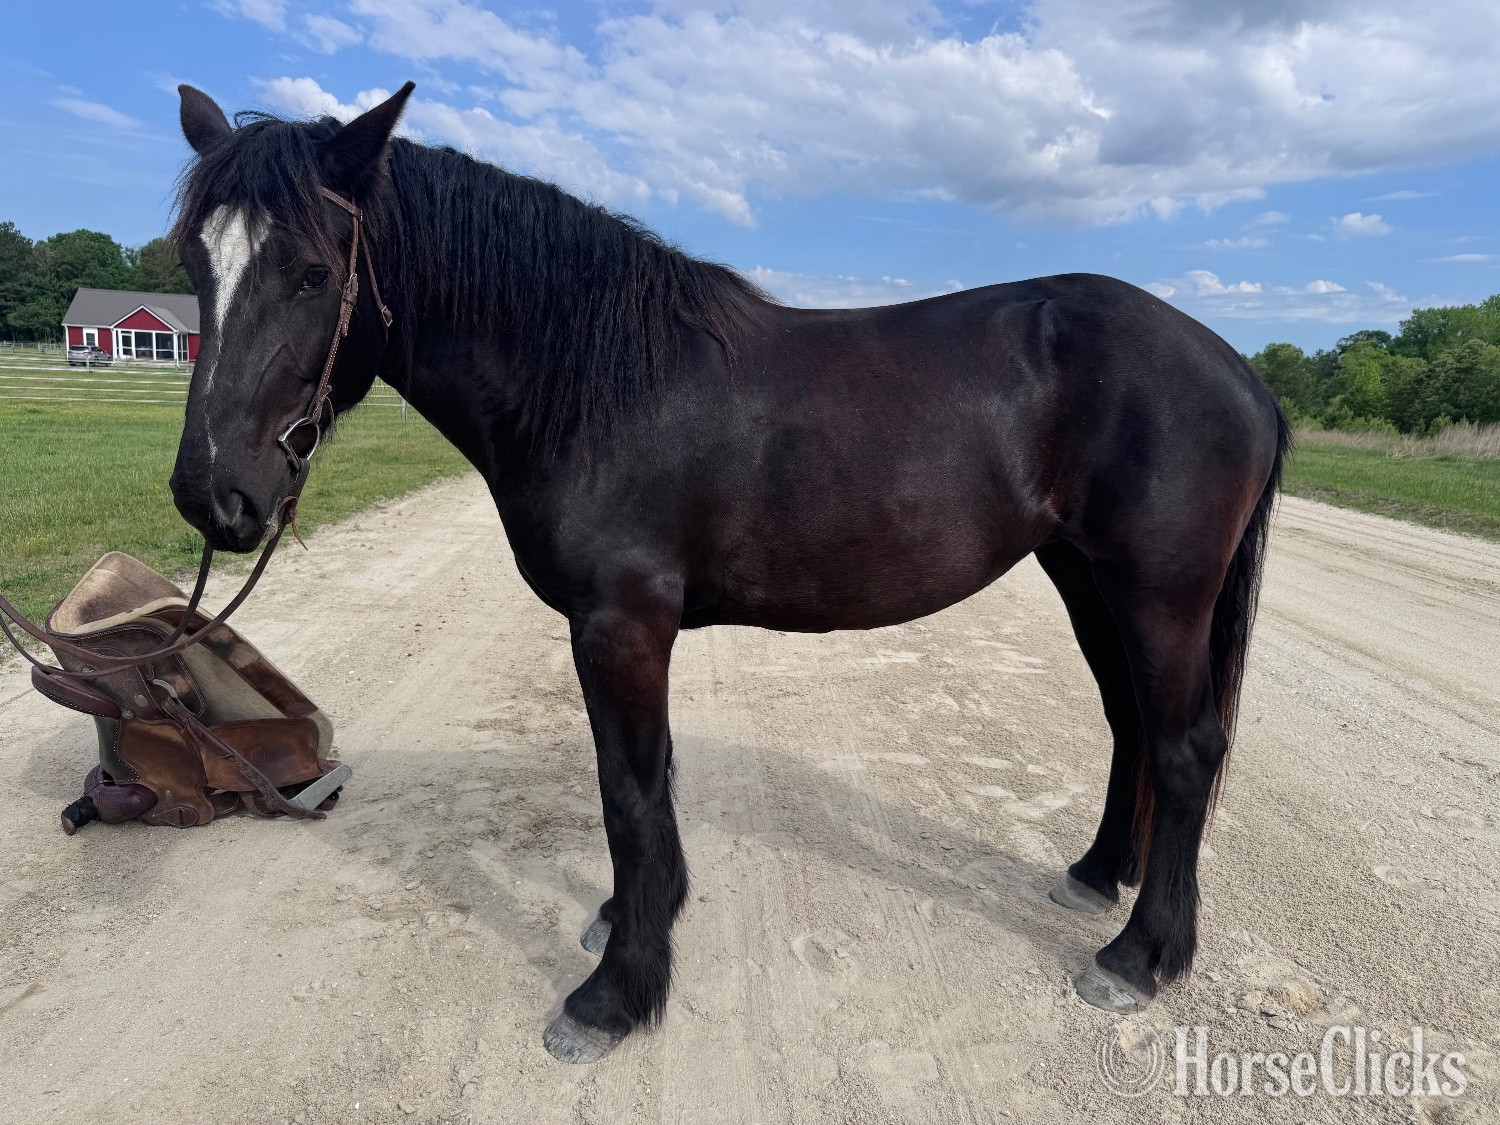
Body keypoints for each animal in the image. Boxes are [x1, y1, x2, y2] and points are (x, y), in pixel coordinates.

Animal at [168, 81, 1289, 1063]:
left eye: (314, 273)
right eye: (194, 263)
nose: (214, 497)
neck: (593, 380)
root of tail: (1236, 369)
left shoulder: (619, 625)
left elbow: (628, 792)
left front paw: (616, 994)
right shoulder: (632, 632)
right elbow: (649, 783)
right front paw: (637, 917)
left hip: (1159, 593)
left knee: (1186, 748)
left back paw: (1138, 957)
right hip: (1087, 579)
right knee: (1133, 728)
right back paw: (1098, 877)